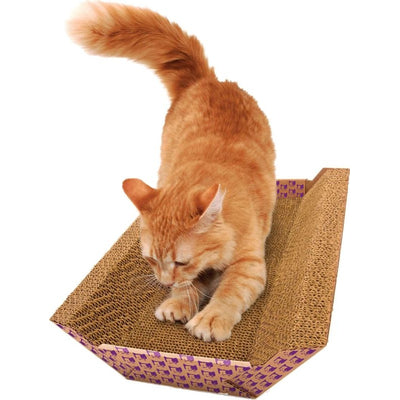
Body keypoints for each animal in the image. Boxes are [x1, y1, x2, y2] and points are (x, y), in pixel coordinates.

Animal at [68, 1, 276, 342]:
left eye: (180, 260)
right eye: (151, 259)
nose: (164, 282)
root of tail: (206, 80)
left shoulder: (249, 263)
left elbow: (228, 291)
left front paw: (210, 319)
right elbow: (189, 285)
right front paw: (178, 302)